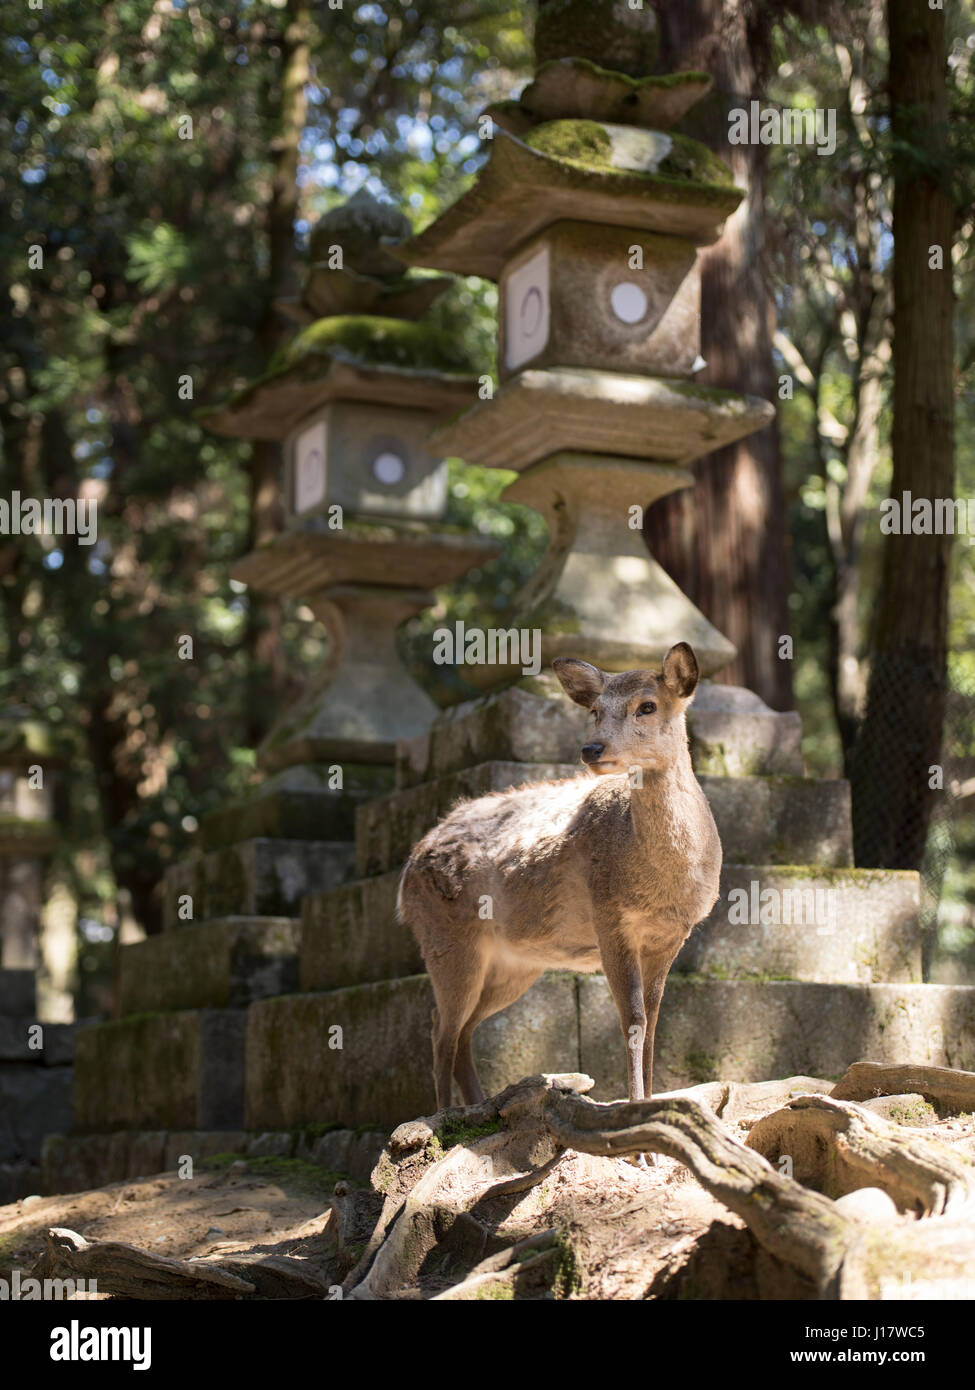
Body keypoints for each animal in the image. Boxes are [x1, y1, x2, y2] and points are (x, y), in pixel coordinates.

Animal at [395, 639, 723, 1106]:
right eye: (595, 710)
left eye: (647, 706)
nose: (592, 749)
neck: (662, 885)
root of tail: (407, 871)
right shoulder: (609, 917)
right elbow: (634, 1019)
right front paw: (636, 1106)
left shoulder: (673, 935)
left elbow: (655, 1021)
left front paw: (653, 1100)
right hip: (444, 938)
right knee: (441, 1028)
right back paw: (443, 1116)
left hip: (512, 965)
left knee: (463, 1032)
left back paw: (477, 1106)